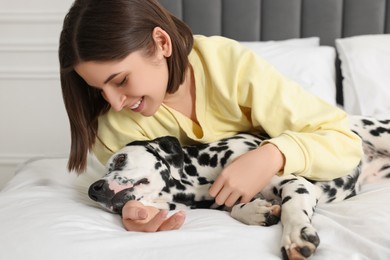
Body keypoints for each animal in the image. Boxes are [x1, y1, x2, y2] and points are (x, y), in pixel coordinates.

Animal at [89, 116, 390, 260]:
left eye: (120, 159)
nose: (94, 189)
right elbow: (234, 208)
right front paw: (256, 211)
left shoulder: (294, 183)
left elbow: (292, 209)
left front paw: (295, 236)